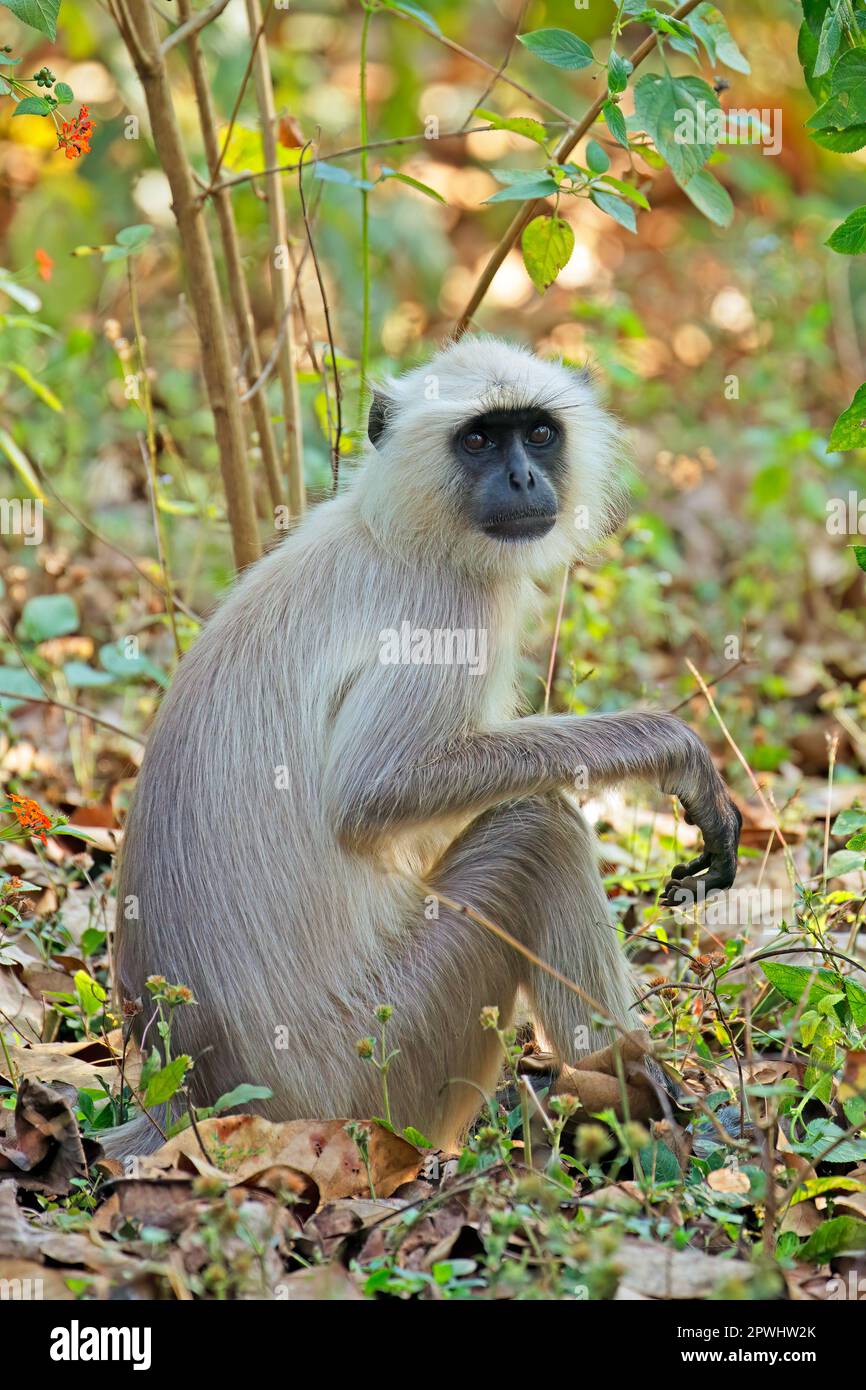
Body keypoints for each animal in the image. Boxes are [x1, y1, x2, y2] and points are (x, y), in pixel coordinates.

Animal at [107, 333, 745, 1150]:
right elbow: (374, 793)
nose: (522, 476)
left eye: (538, 432)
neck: (397, 528)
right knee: (540, 827)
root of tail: (194, 1094)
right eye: (479, 440)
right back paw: (628, 1085)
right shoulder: (450, 607)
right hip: (381, 1071)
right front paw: (673, 748)